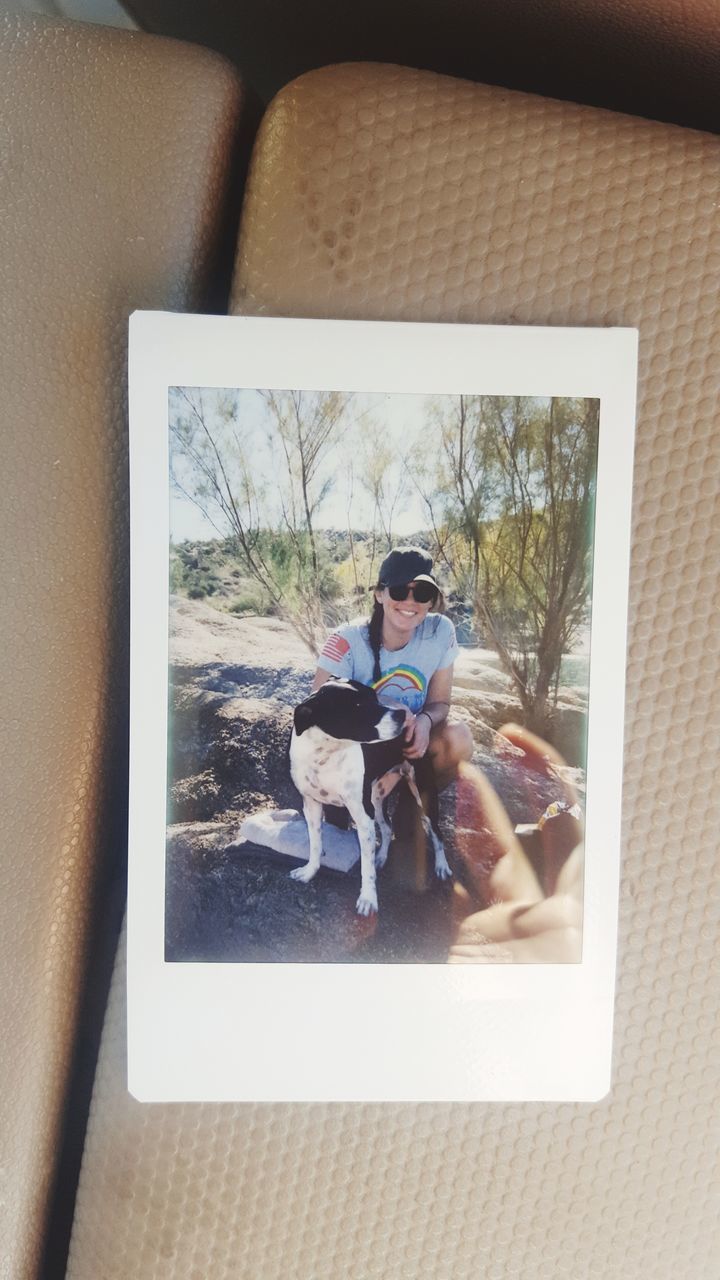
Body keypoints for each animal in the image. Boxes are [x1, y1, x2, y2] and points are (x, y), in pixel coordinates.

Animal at [285, 675, 448, 916]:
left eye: (374, 696)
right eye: (358, 707)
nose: (402, 716)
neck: (325, 756)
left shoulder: (362, 817)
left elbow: (366, 866)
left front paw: (368, 899)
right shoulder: (311, 806)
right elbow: (315, 844)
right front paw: (309, 872)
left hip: (422, 793)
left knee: (436, 832)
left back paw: (442, 865)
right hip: (376, 798)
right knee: (387, 827)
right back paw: (381, 857)